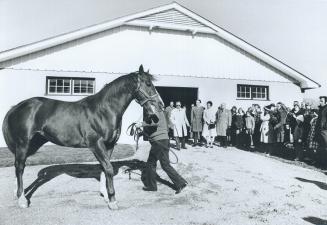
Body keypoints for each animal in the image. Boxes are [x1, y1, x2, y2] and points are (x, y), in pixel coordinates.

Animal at [1, 64, 163, 210]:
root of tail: (17, 107)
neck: (103, 111)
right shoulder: (96, 145)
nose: (160, 105)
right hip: (23, 143)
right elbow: (109, 168)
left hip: (33, 143)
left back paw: (17, 193)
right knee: (20, 167)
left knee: (18, 166)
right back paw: (22, 199)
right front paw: (112, 201)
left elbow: (104, 168)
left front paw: (105, 195)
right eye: (148, 83)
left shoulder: (109, 145)